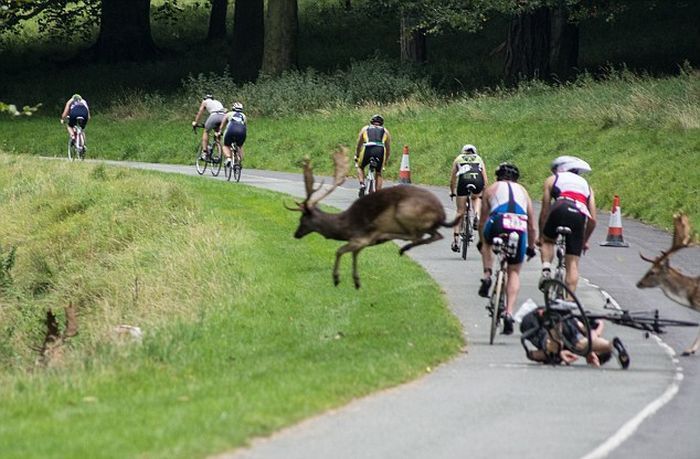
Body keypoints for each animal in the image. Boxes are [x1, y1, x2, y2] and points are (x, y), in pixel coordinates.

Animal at [287, 148, 461, 289]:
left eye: (302, 219)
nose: (295, 234)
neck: (344, 226)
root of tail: (441, 214)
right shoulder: (359, 242)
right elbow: (353, 254)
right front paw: (356, 281)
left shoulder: (359, 237)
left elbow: (339, 251)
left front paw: (337, 279)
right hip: (427, 224)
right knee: (435, 235)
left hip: (405, 212)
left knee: (415, 235)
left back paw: (398, 244)